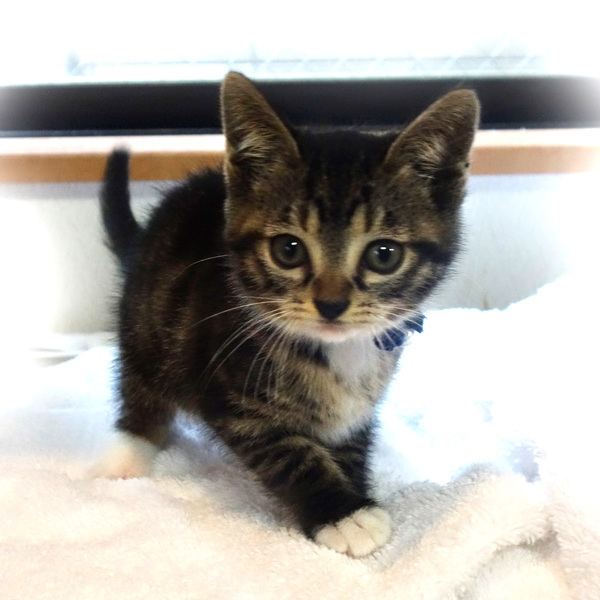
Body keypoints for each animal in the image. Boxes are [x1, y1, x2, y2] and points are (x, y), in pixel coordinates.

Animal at [93, 72, 479, 557]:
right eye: (288, 250)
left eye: (384, 255)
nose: (331, 304)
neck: (340, 352)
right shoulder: (234, 397)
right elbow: (289, 455)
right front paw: (341, 514)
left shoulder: (357, 409)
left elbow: (348, 441)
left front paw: (355, 491)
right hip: (147, 322)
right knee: (139, 381)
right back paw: (128, 452)